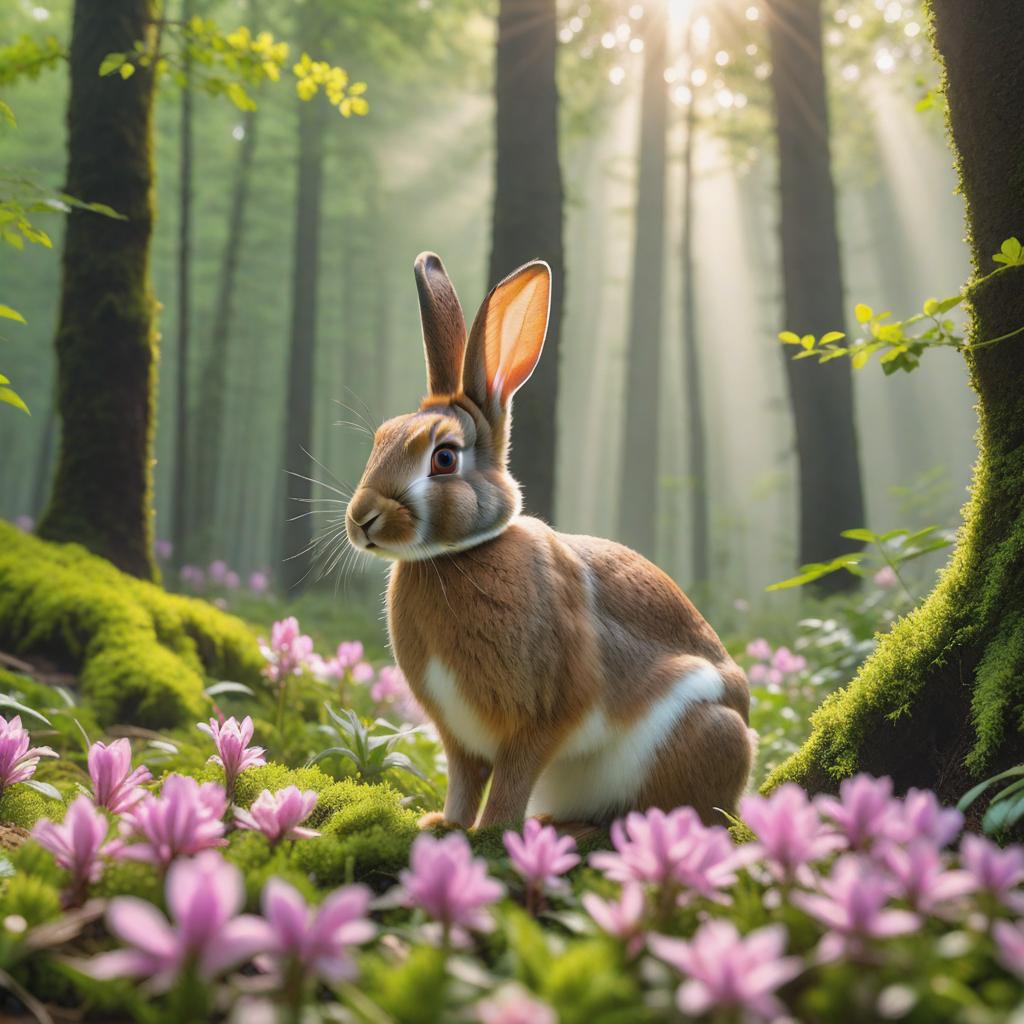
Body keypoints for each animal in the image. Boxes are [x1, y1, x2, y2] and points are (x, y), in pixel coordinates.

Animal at [344, 251, 753, 827]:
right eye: (381, 439)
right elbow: (464, 780)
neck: (456, 556)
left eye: (443, 458)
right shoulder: (458, 734)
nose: (362, 519)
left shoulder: (541, 717)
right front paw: (445, 824)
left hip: (697, 733)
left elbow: (512, 778)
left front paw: (493, 832)